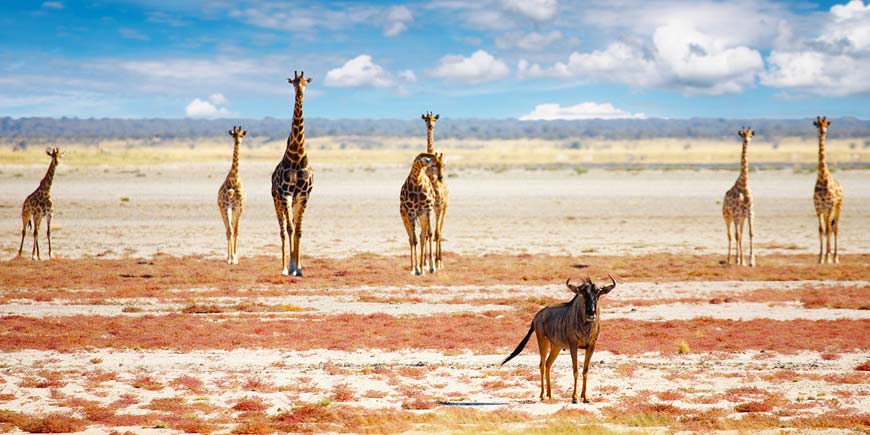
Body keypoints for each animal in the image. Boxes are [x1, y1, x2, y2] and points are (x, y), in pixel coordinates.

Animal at [724, 127, 760, 268]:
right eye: (742, 134)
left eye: (751, 135)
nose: (746, 140)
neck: (744, 185)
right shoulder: (736, 212)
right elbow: (737, 235)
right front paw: (739, 260)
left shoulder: (750, 212)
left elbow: (751, 233)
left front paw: (751, 261)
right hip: (728, 216)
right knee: (731, 235)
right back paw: (731, 259)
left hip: (741, 217)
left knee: (740, 234)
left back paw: (740, 260)